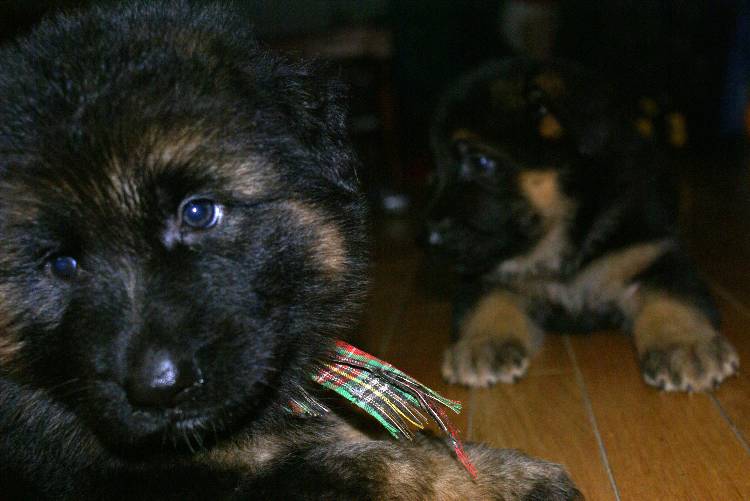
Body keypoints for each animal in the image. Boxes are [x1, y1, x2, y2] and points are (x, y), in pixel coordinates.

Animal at [428, 58, 740, 392]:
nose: (427, 239)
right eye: (435, 171)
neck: (567, 238)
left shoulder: (654, 255)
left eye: (480, 162)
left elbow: (673, 299)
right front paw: (483, 343)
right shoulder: (488, 275)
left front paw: (684, 344)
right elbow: (488, 300)